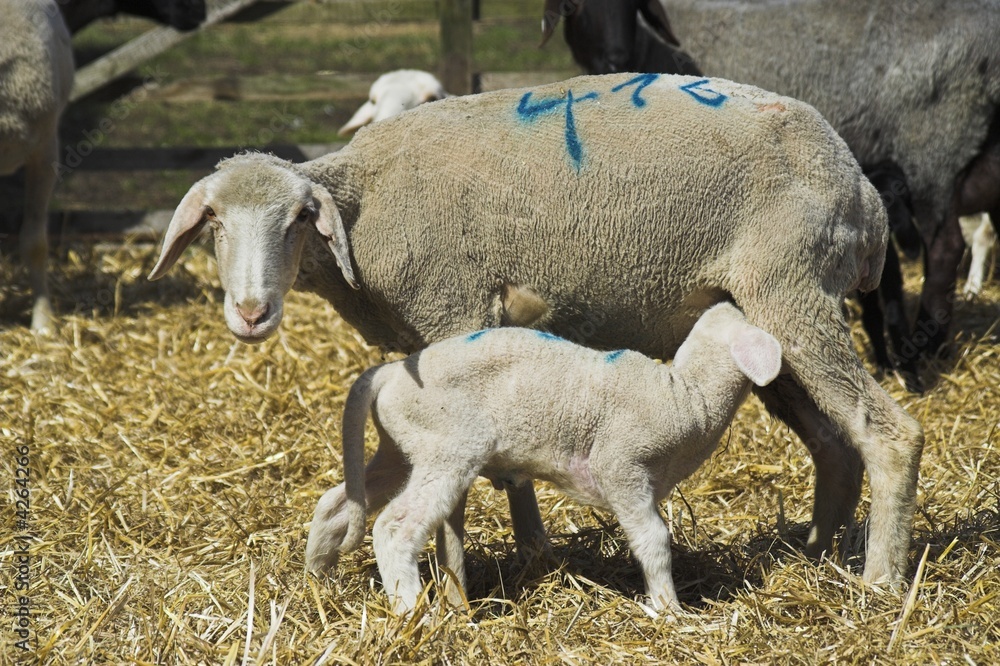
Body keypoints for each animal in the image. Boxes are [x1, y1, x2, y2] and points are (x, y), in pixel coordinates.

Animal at [308, 302, 782, 615]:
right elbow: (653, 540)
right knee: (394, 526)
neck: (688, 395)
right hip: (447, 447)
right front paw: (669, 610)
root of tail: (390, 372)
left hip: (405, 446)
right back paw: (410, 613)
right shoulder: (621, 467)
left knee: (336, 502)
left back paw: (318, 577)